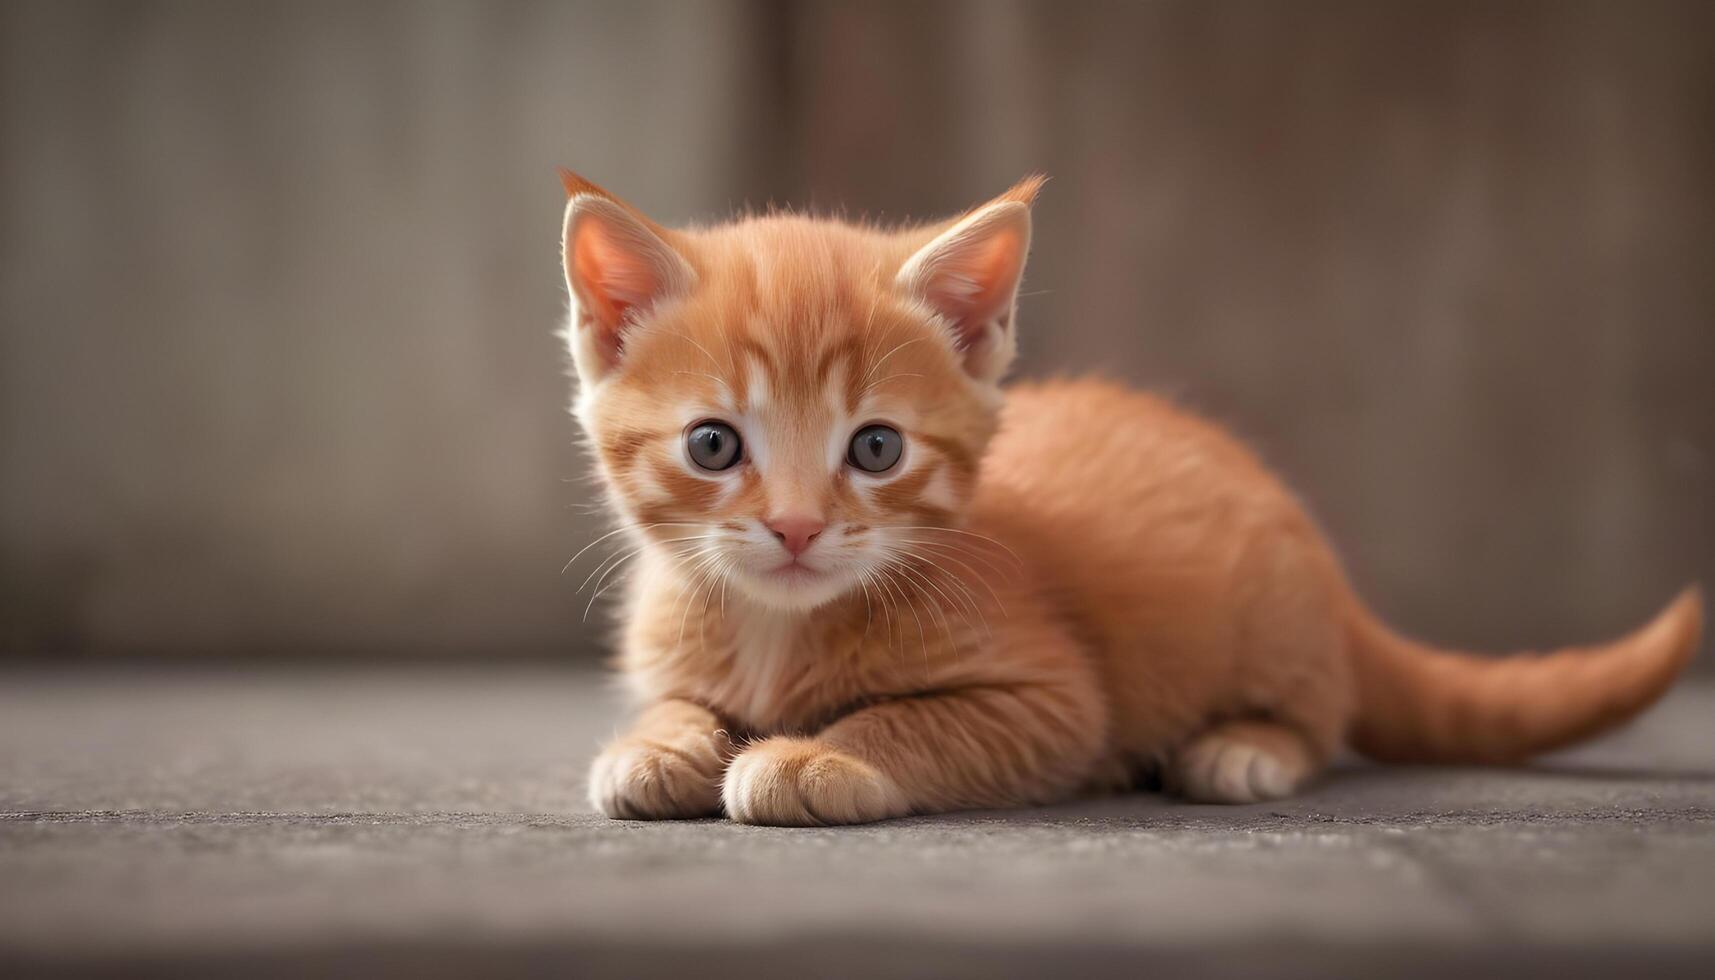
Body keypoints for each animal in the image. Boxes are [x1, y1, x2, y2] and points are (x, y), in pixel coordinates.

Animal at [562, 170, 1701, 827]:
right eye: (714, 444)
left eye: (875, 447)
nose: (796, 526)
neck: (776, 627)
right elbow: (675, 700)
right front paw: (656, 744)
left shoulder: (1051, 698)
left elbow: (912, 721)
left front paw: (816, 754)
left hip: (1270, 631)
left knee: (1315, 714)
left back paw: (1242, 749)